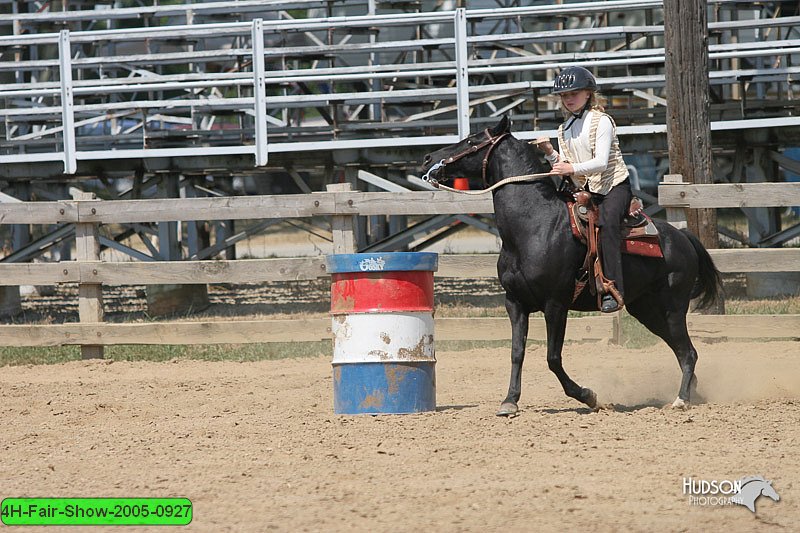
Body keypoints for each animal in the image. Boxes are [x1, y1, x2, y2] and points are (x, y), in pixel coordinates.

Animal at [422, 115, 720, 416]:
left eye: (472, 141)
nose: (428, 158)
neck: (534, 225)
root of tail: (682, 237)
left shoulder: (556, 304)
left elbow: (553, 358)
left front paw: (588, 396)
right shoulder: (515, 302)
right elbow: (517, 352)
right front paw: (510, 400)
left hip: (672, 307)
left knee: (688, 352)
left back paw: (681, 399)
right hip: (646, 309)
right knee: (681, 351)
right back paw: (691, 393)